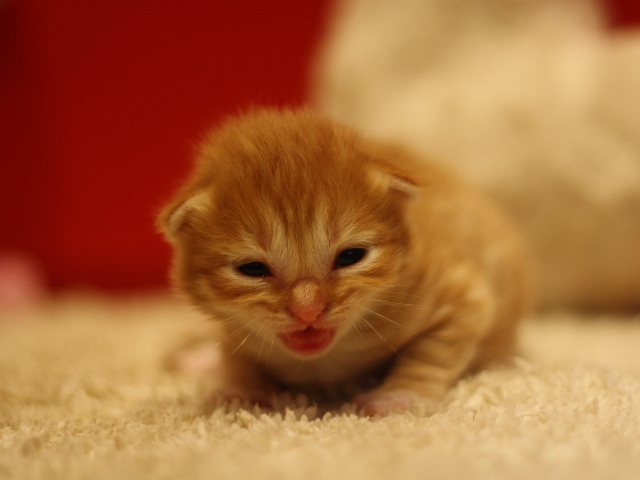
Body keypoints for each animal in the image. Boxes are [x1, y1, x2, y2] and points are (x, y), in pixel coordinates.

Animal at [156, 109, 528, 416]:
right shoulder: (233, 327)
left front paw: (400, 396)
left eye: (350, 257)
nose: (308, 311)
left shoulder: (459, 295)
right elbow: (237, 354)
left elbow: (432, 353)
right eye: (253, 269)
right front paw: (242, 390)